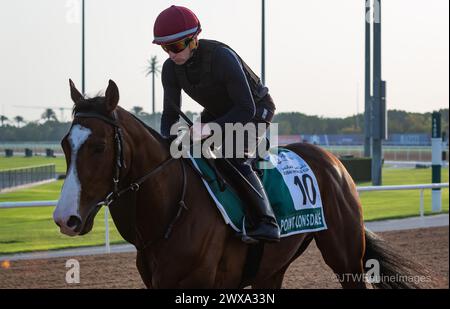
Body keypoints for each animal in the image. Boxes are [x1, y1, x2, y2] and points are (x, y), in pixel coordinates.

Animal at [53, 79, 426, 286]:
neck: (174, 208)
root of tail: (333, 160)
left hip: (346, 258)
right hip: (271, 270)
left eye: (99, 147)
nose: (64, 219)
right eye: (65, 145)